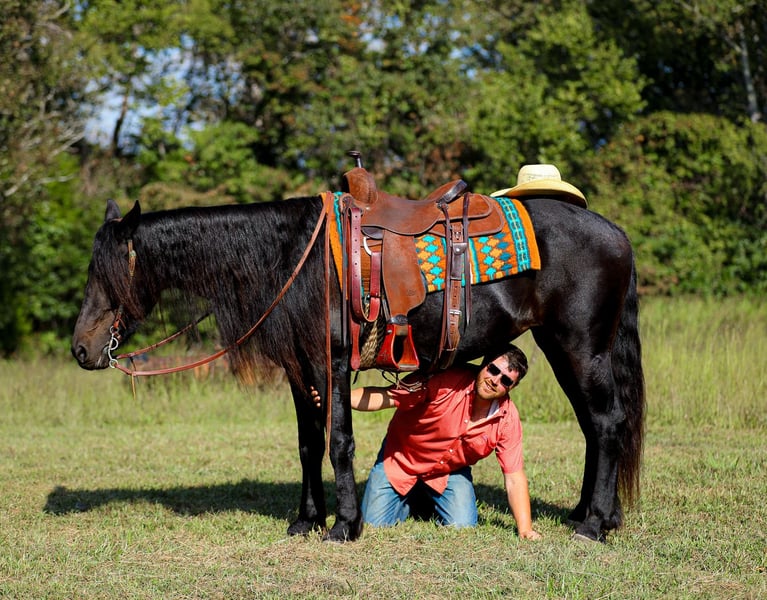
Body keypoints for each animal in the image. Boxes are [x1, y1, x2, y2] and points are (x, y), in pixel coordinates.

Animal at [71, 193, 645, 543]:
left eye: (108, 273)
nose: (81, 349)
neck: (295, 259)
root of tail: (615, 232)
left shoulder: (331, 363)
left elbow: (339, 442)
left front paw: (344, 524)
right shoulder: (299, 368)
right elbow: (307, 443)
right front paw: (307, 519)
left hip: (581, 346)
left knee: (606, 423)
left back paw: (594, 523)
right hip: (563, 347)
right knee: (593, 427)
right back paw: (591, 514)